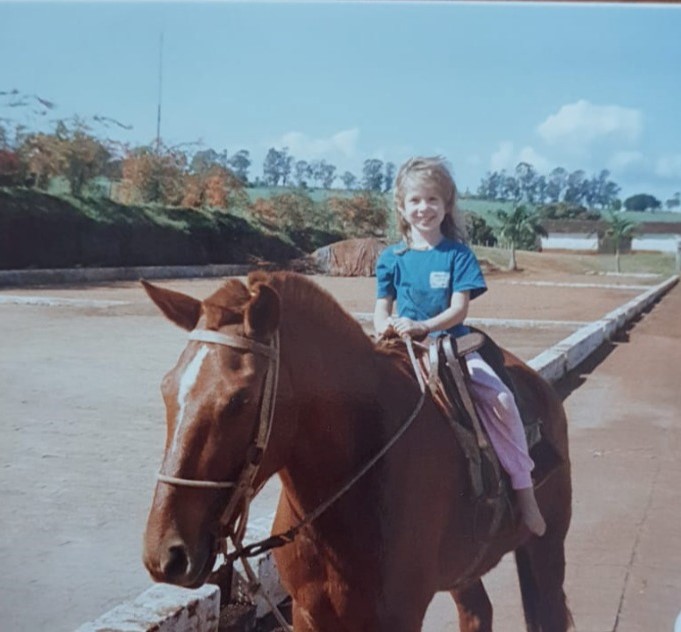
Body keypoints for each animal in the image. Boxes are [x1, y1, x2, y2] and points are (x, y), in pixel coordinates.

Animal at [141, 272, 572, 632]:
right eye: (166, 387)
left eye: (239, 400)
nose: (166, 554)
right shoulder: (309, 614)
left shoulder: (398, 618)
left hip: (547, 549)